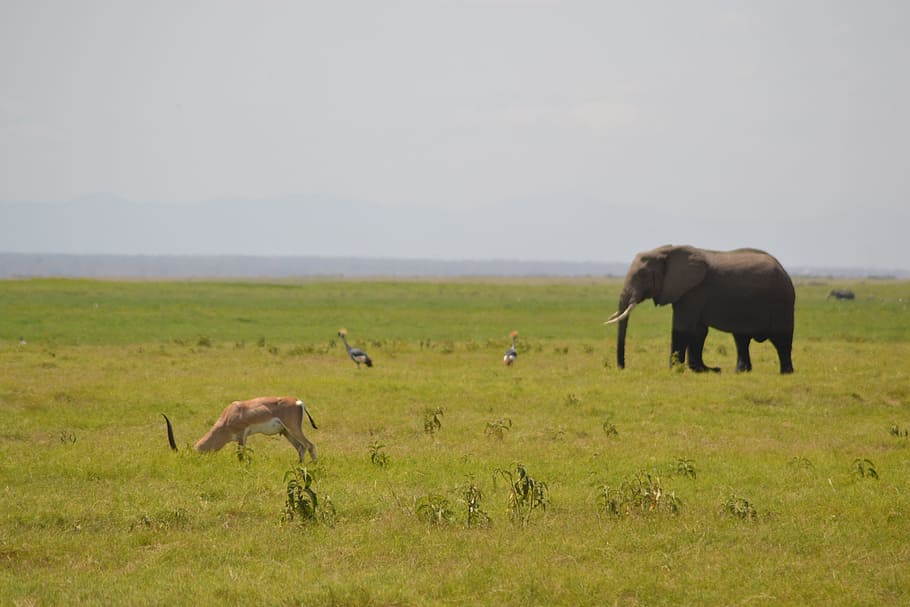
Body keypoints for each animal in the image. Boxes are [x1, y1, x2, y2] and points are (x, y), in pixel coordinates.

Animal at [605, 245, 795, 374]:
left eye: (642, 275)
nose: (622, 367)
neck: (667, 251)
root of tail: (784, 269)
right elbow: (698, 331)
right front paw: (705, 370)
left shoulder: (694, 291)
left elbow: (682, 328)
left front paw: (675, 370)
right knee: (741, 339)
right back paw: (741, 372)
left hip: (782, 303)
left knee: (781, 339)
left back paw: (786, 373)